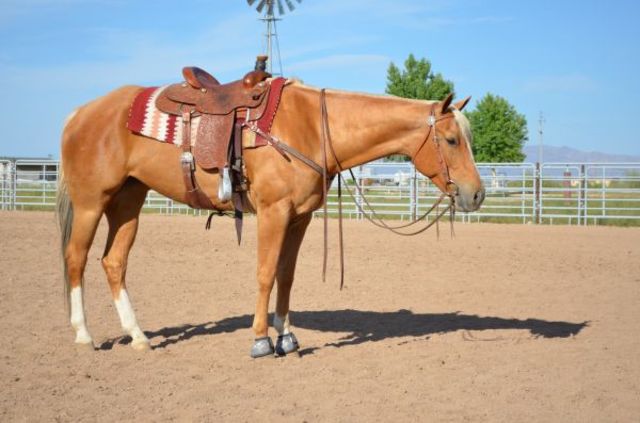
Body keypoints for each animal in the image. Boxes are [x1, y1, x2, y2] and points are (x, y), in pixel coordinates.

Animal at [57, 78, 485, 357]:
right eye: (451, 140)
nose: (477, 193)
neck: (312, 126)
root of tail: (80, 114)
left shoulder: (299, 218)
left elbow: (286, 276)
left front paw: (287, 338)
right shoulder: (273, 213)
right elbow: (265, 274)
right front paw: (262, 340)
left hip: (129, 201)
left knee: (114, 262)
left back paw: (138, 336)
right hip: (92, 202)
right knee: (76, 258)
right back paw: (83, 335)